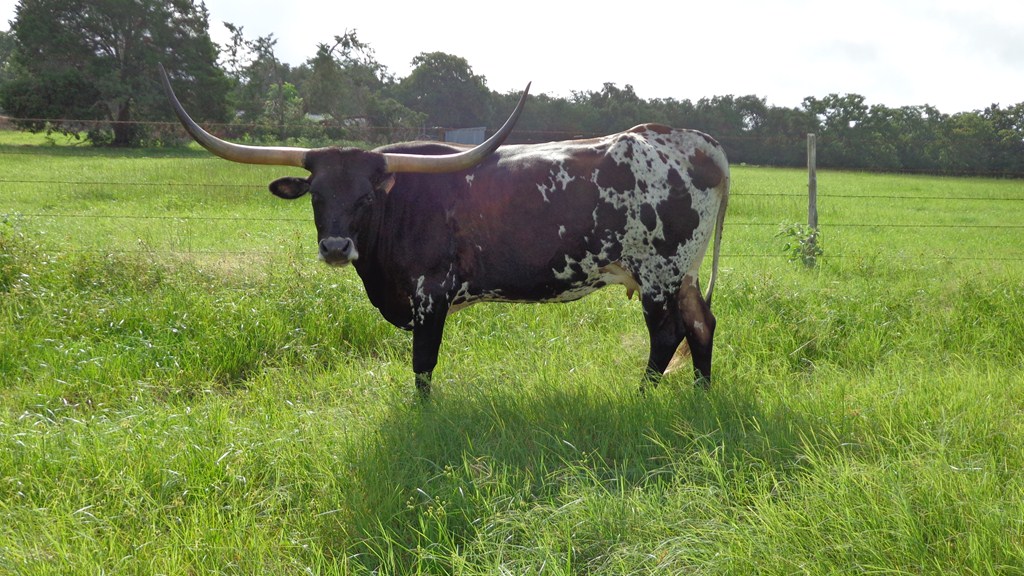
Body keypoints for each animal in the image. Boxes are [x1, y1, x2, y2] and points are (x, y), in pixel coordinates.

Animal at [159, 65, 729, 395]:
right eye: (317, 196)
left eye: (366, 197)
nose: (337, 247)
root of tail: (694, 141)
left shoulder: (429, 294)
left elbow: (423, 365)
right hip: (683, 275)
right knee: (702, 326)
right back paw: (701, 397)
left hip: (658, 274)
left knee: (668, 335)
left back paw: (643, 397)